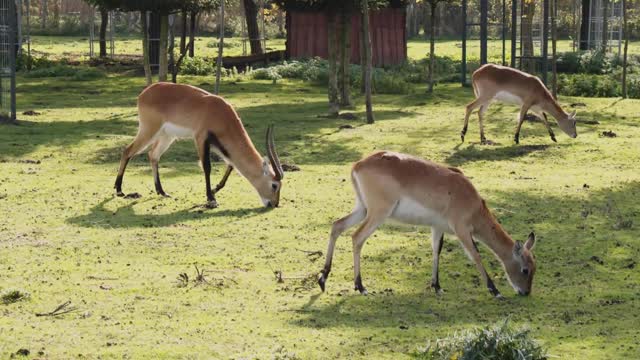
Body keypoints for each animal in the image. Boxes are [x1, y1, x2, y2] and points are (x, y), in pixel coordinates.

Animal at [114, 80, 284, 207]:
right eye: (274, 185)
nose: (274, 204)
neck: (222, 113)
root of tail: (145, 92)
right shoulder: (201, 138)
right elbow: (207, 167)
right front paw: (211, 198)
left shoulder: (219, 144)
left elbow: (230, 165)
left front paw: (214, 190)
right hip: (149, 130)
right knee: (127, 150)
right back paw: (119, 190)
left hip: (166, 136)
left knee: (153, 155)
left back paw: (161, 191)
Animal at [318, 150, 536, 298]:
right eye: (525, 269)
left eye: (534, 268)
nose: (525, 292)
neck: (473, 204)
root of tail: (358, 165)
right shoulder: (462, 230)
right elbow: (475, 255)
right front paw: (495, 290)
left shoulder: (437, 227)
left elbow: (436, 250)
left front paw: (437, 285)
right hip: (378, 213)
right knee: (357, 237)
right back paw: (360, 286)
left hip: (362, 208)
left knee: (337, 225)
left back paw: (323, 278)